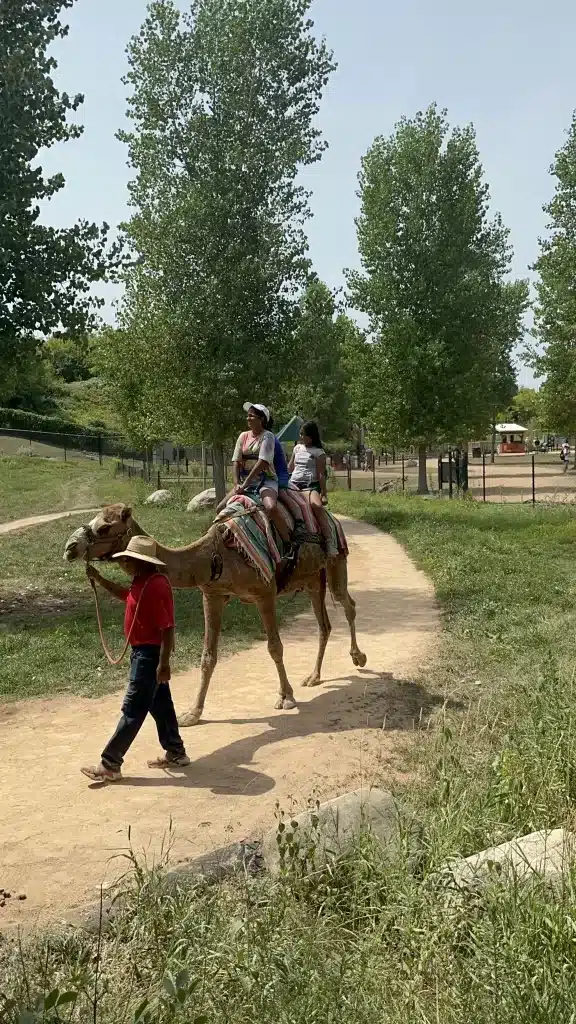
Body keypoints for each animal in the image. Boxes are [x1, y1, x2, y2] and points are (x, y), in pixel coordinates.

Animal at [62, 503, 362, 729]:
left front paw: (286, 697)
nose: (70, 547)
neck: (215, 555)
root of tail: (332, 517)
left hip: (335, 562)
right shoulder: (212, 595)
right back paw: (314, 676)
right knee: (324, 624)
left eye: (104, 526)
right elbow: (208, 657)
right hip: (312, 579)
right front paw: (192, 714)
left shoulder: (264, 592)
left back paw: (358, 657)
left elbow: (275, 647)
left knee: (347, 603)